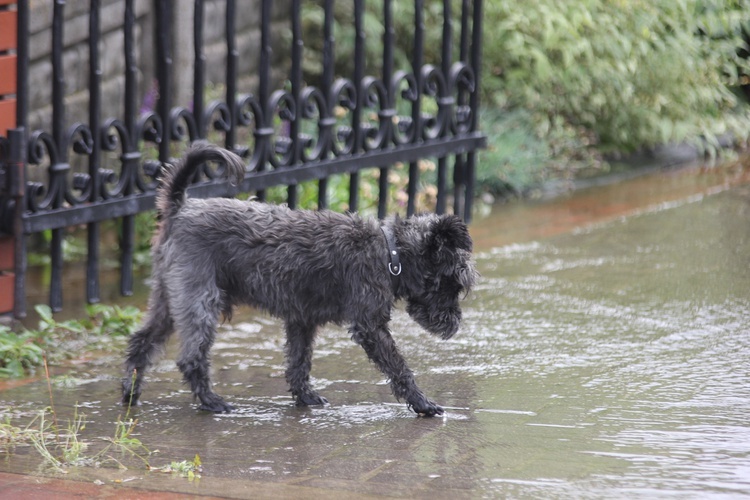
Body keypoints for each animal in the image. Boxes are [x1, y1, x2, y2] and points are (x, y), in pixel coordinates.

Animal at [121, 142, 478, 418]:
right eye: (453, 284)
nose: (455, 324)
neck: (390, 253)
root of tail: (180, 207)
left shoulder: (301, 320)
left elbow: (298, 362)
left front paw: (305, 397)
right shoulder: (370, 326)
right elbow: (398, 367)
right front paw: (423, 403)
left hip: (171, 299)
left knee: (141, 342)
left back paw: (130, 394)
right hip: (200, 300)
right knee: (190, 357)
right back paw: (211, 402)